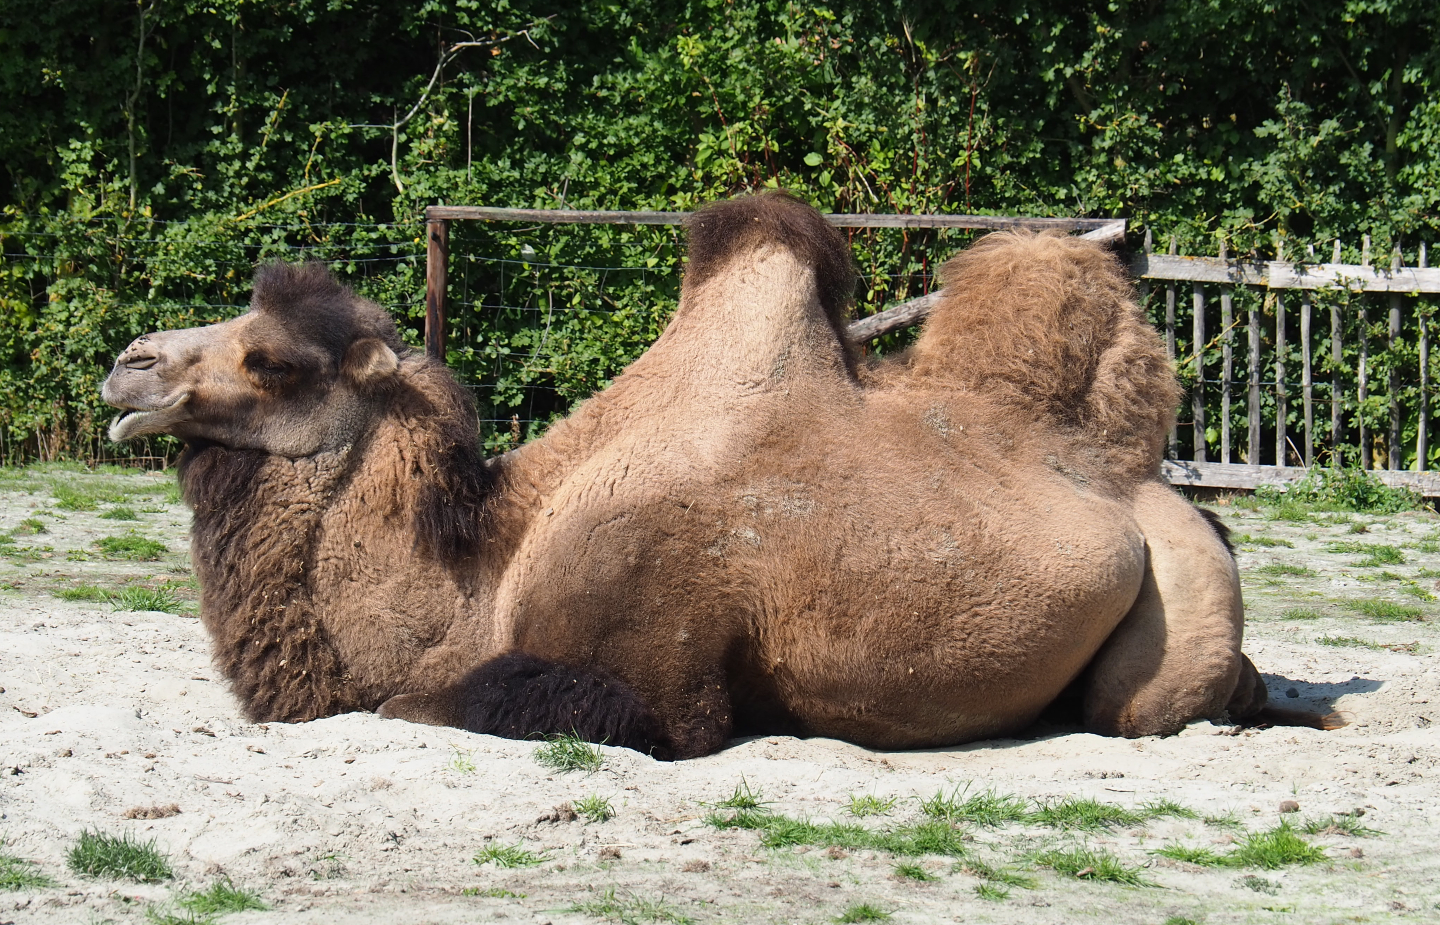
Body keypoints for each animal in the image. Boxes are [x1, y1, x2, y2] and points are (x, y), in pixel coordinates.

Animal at [101, 192, 1312, 760]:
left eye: (273, 360)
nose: (129, 363)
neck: (480, 570)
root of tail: (1155, 490)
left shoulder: (648, 672)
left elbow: (427, 701)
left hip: (1177, 592)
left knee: (1142, 704)